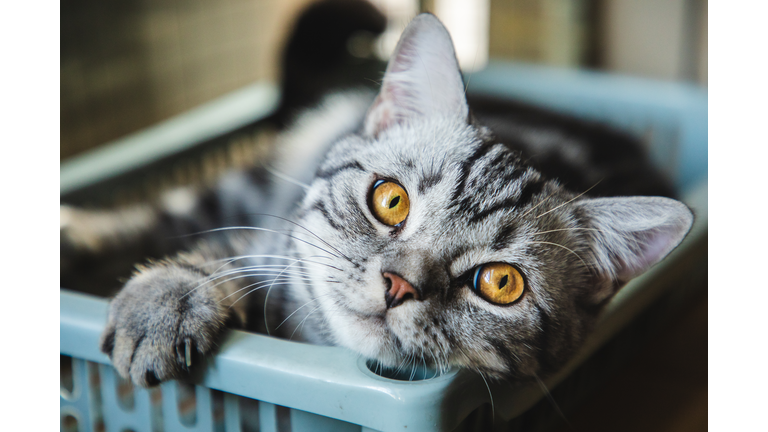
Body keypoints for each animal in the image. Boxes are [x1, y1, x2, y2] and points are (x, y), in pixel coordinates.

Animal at [63, 14, 692, 388]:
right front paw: (167, 300)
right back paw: (75, 235)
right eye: (390, 201)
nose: (399, 284)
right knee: (160, 213)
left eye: (500, 283)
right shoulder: (270, 243)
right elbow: (217, 257)